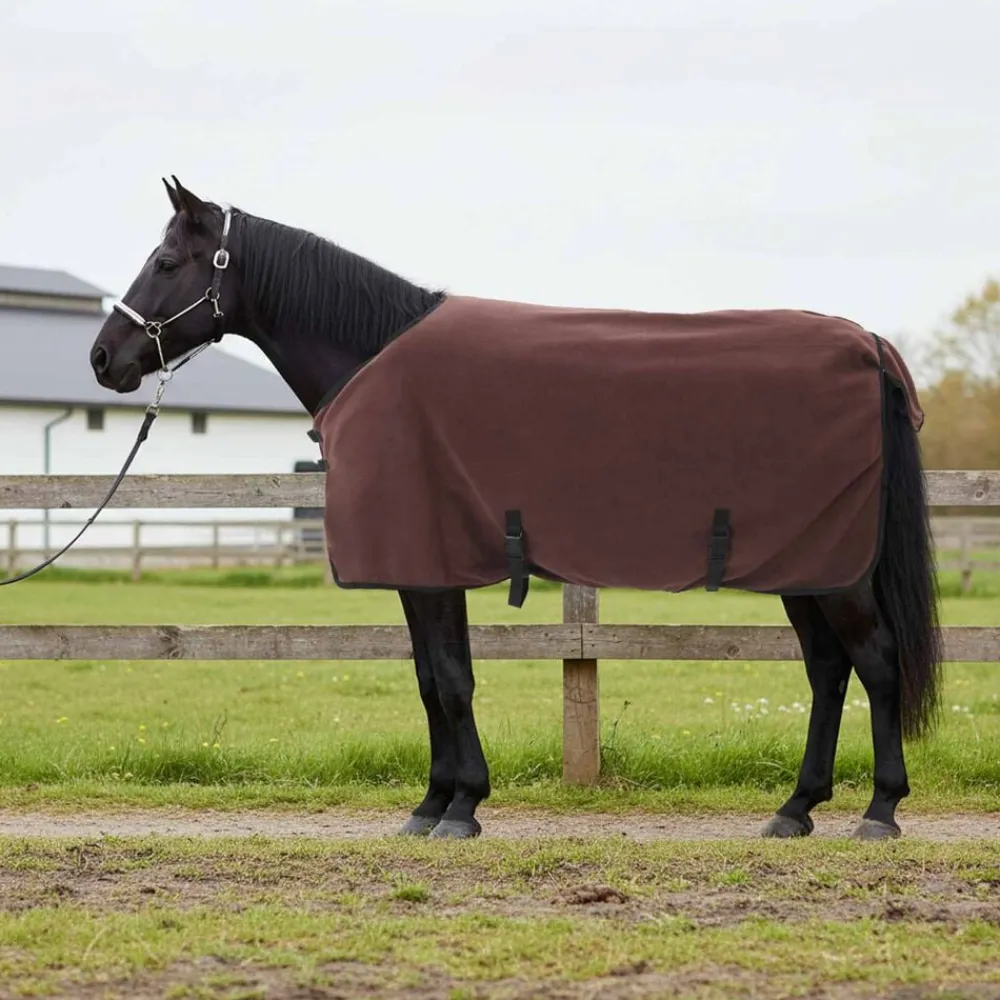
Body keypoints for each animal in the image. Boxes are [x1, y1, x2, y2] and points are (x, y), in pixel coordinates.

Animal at [90, 177, 943, 841]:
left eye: (166, 262)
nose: (103, 358)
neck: (373, 355)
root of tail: (868, 344)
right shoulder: (420, 570)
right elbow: (432, 678)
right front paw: (434, 803)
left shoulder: (430, 566)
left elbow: (450, 680)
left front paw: (461, 807)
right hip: (807, 564)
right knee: (828, 670)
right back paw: (796, 809)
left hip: (839, 573)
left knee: (876, 662)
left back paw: (880, 811)